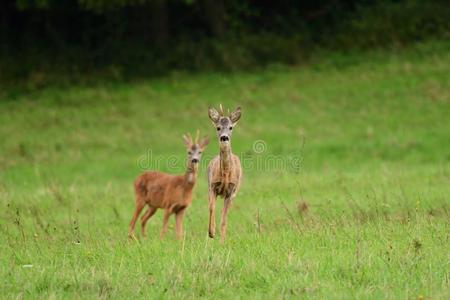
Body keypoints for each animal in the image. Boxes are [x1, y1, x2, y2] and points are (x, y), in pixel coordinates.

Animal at [207, 104, 243, 243]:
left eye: (231, 127)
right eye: (218, 127)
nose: (224, 137)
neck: (226, 173)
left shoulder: (230, 191)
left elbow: (224, 219)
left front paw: (222, 242)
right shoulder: (213, 186)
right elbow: (211, 207)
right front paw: (211, 232)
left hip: (233, 193)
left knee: (224, 214)